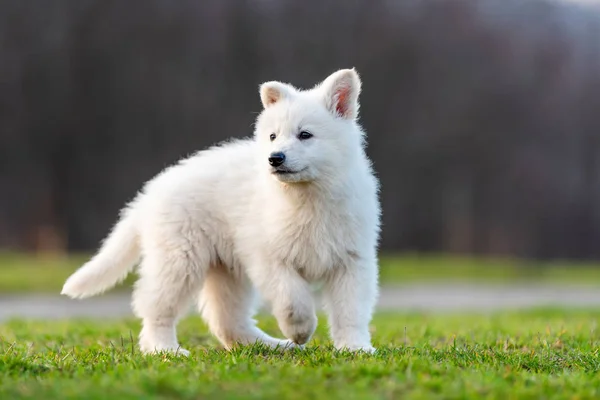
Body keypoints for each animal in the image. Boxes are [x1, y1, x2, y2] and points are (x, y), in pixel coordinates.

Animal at [61, 69, 380, 356]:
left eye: (305, 135)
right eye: (273, 136)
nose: (274, 158)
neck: (307, 196)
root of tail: (151, 192)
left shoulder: (352, 260)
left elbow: (350, 310)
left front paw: (355, 348)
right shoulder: (267, 256)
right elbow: (292, 296)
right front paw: (301, 330)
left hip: (226, 269)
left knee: (228, 320)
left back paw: (270, 346)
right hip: (179, 258)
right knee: (156, 307)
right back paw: (164, 349)